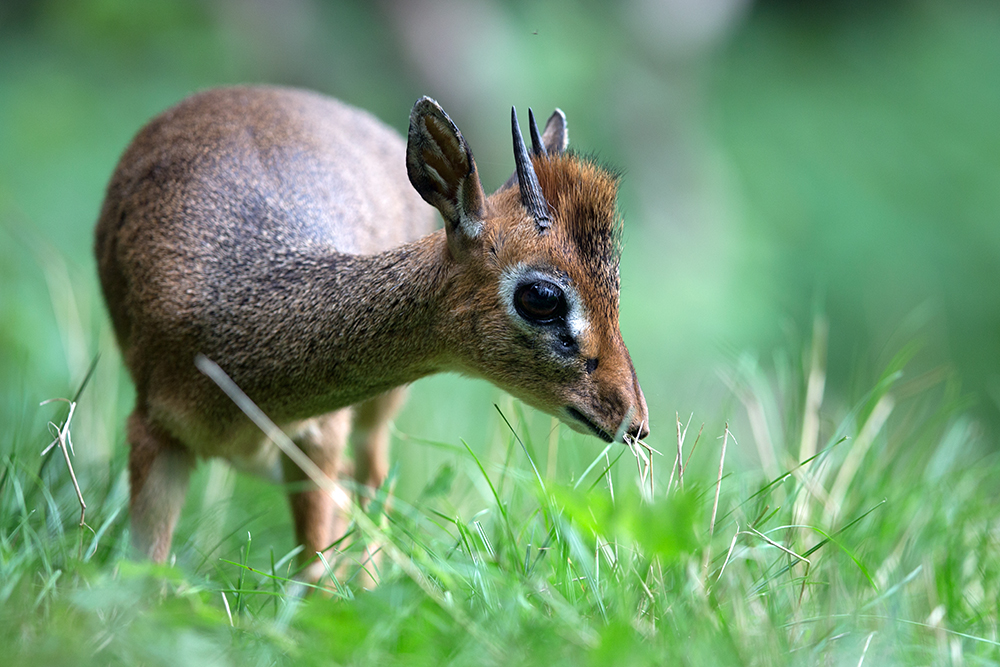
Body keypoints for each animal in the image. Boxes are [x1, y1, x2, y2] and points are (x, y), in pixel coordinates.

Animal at [95, 87, 648, 580]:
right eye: (542, 296)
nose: (634, 420)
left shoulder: (319, 439)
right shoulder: (154, 433)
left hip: (374, 420)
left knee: (373, 492)